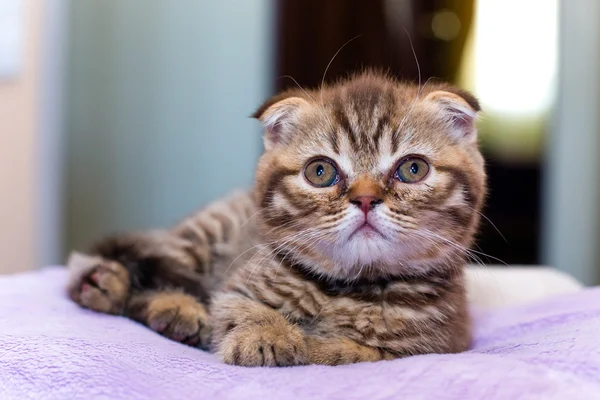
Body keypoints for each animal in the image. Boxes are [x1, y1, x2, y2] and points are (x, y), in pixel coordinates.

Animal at [67, 71, 488, 366]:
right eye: (320, 172)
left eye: (413, 169)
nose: (366, 198)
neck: (347, 288)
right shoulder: (237, 287)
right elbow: (238, 310)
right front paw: (265, 336)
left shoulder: (437, 342)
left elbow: (357, 352)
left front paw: (315, 345)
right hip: (200, 237)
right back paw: (128, 292)